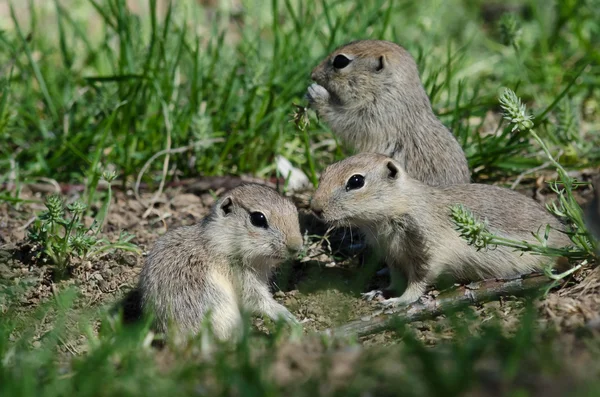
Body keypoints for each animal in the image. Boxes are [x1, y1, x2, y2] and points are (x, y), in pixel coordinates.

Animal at [138, 183, 302, 338]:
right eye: (258, 218)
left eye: (294, 208)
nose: (296, 246)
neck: (221, 241)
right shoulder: (242, 277)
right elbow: (257, 300)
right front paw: (286, 315)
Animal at [308, 39, 472, 185]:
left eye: (340, 61)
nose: (313, 74)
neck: (387, 89)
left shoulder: (373, 116)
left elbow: (343, 120)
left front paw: (316, 93)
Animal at [310, 153, 572, 304]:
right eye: (326, 171)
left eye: (356, 181)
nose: (314, 208)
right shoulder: (393, 257)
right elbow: (396, 279)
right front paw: (380, 292)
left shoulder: (428, 252)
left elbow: (419, 281)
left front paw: (398, 302)